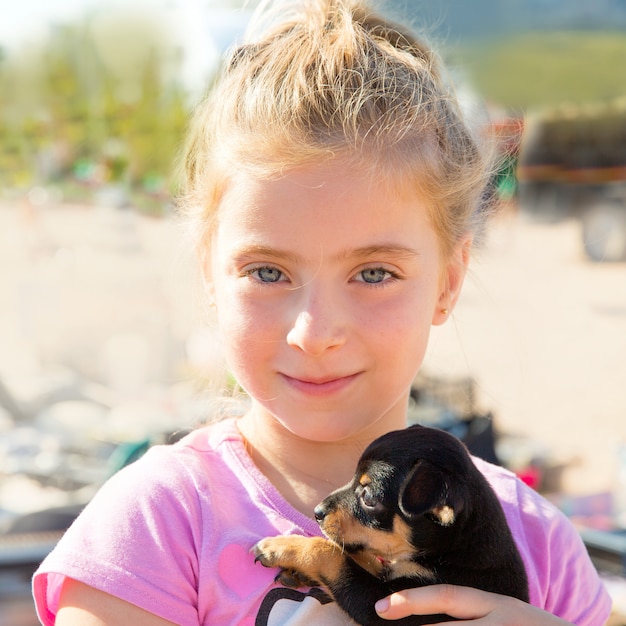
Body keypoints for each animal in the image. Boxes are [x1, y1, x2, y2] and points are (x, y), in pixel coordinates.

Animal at [252, 422, 528, 620]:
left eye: (368, 497)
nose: (317, 512)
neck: (454, 552)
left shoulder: (385, 605)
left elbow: (332, 554)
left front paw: (280, 547)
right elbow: (361, 558)